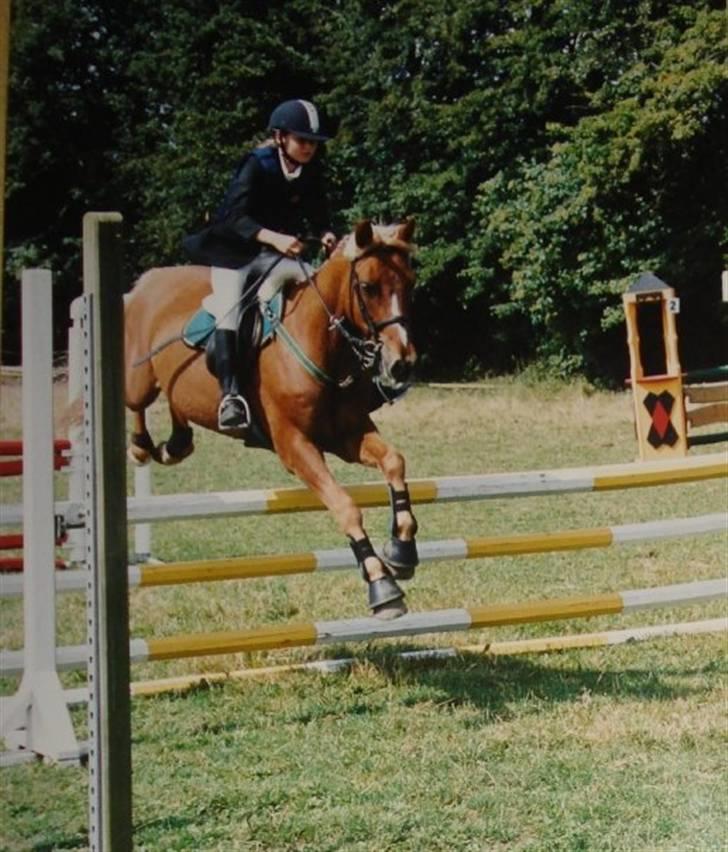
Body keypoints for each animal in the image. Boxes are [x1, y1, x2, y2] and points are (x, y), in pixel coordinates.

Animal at [124, 219, 419, 619]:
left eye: (410, 284)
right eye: (368, 287)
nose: (402, 364)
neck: (320, 341)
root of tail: (145, 283)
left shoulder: (347, 434)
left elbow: (393, 461)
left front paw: (402, 548)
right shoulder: (295, 446)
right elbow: (344, 505)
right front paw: (381, 583)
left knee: (176, 403)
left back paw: (175, 444)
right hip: (139, 379)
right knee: (134, 402)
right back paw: (141, 447)